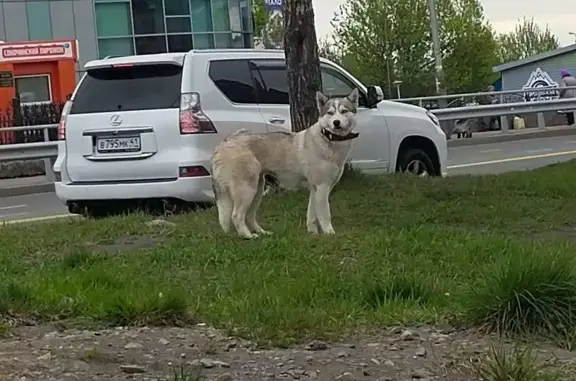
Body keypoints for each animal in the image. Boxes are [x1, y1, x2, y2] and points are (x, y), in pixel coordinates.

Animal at [209, 88, 358, 238]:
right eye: (330, 113)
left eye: (344, 111)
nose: (336, 122)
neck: (328, 140)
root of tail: (224, 143)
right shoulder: (322, 187)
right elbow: (325, 215)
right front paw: (329, 233)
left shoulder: (315, 189)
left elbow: (312, 216)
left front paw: (313, 234)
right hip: (246, 190)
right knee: (237, 216)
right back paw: (248, 236)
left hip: (257, 190)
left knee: (249, 216)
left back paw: (262, 233)